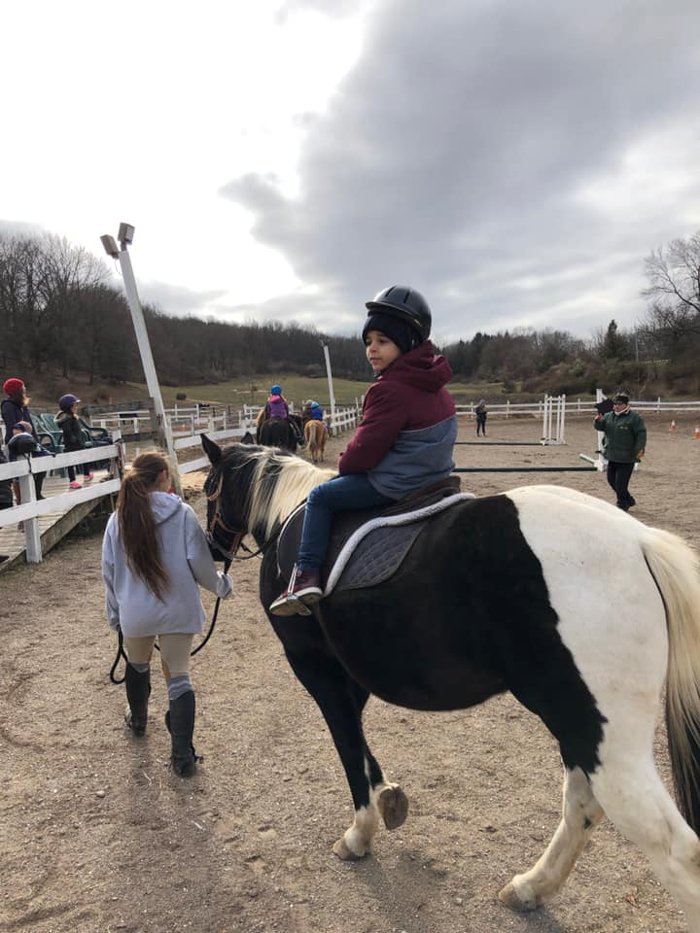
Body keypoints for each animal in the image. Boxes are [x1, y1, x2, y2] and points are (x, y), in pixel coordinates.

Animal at [201, 438, 700, 932]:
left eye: (208, 488)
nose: (211, 548)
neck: (292, 512)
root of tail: (639, 542)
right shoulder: (351, 675)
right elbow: (361, 744)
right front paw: (389, 798)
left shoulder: (316, 668)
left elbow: (347, 747)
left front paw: (360, 833)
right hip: (580, 728)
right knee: (582, 806)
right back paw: (529, 888)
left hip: (599, 732)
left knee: (672, 845)